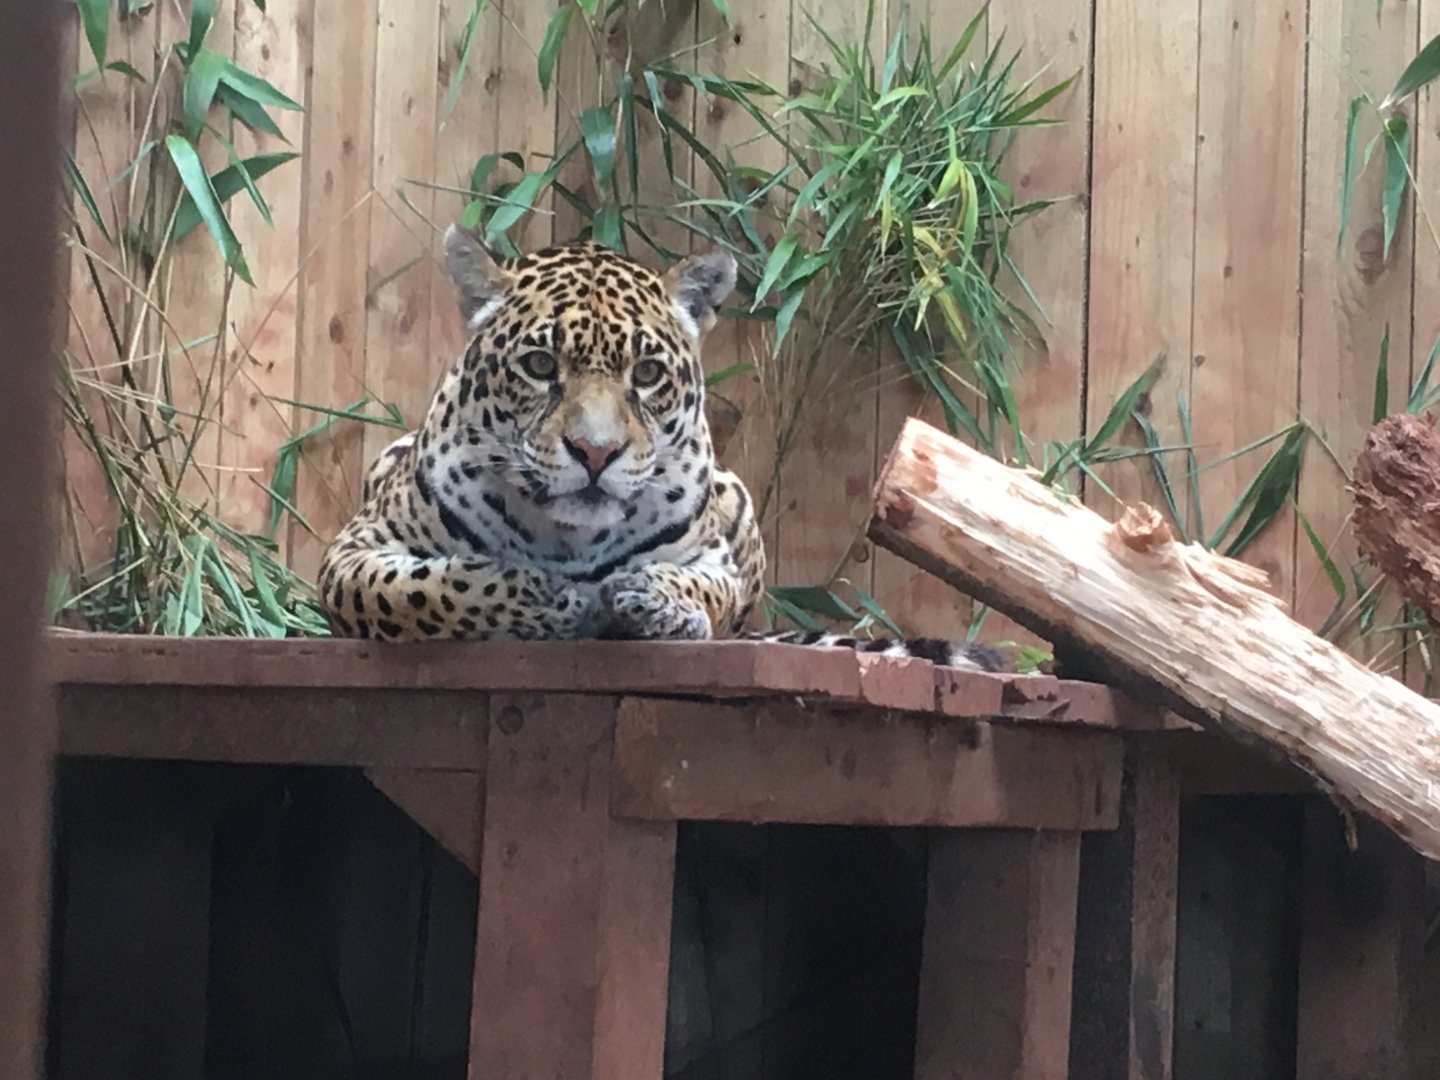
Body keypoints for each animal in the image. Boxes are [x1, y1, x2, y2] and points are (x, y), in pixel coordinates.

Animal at [316, 223, 1006, 673]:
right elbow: (431, 588)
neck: (567, 542)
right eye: (539, 365)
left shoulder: (717, 563)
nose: (595, 453)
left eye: (646, 374)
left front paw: (648, 599)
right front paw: (549, 595)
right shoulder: (353, 553)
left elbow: (699, 589)